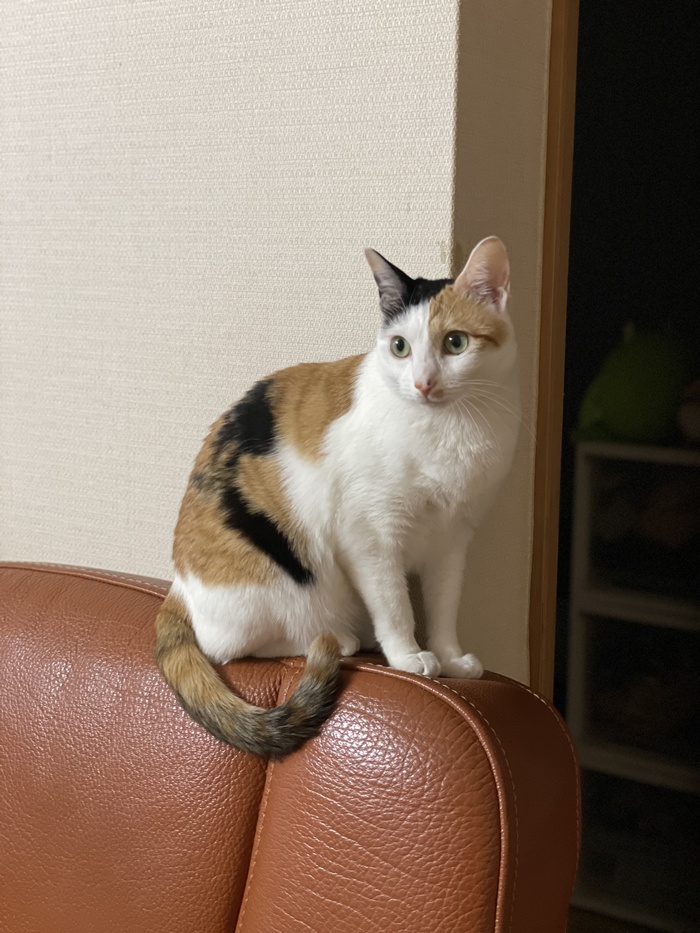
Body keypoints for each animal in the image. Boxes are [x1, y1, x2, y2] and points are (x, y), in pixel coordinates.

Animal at [155, 235, 520, 758]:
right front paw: (409, 656)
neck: (449, 428)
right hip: (280, 582)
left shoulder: (453, 540)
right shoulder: (369, 536)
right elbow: (394, 604)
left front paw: (451, 659)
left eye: (456, 343)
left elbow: (445, 606)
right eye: (399, 347)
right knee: (228, 645)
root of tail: (178, 587)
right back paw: (340, 640)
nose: (423, 383)